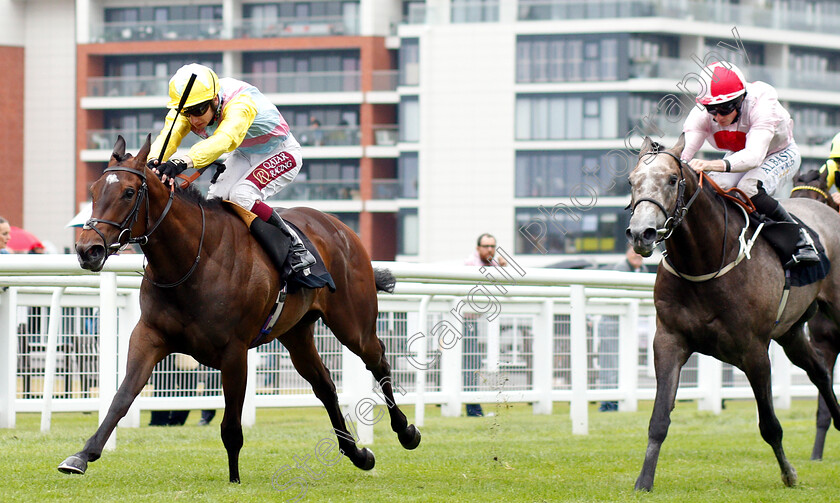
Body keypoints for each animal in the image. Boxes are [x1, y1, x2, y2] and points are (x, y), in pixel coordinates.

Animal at [58, 137, 420, 484]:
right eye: (93, 191)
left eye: (129, 192)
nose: (87, 250)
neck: (192, 261)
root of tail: (341, 227)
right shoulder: (149, 336)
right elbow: (122, 396)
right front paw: (81, 456)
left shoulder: (234, 352)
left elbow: (231, 424)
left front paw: (234, 478)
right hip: (296, 333)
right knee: (325, 385)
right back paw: (358, 454)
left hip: (353, 323)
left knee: (379, 360)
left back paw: (406, 431)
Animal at [628, 134, 840, 492]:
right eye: (631, 181)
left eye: (671, 180)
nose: (641, 233)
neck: (706, 261)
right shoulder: (669, 340)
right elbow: (658, 419)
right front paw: (643, 482)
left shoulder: (754, 350)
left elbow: (769, 425)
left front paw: (789, 473)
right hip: (792, 333)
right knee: (820, 372)